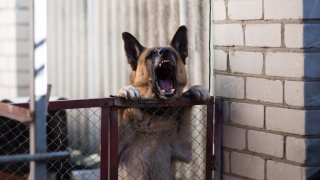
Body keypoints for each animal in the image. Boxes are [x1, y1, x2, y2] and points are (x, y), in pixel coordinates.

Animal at [117, 25, 210, 180]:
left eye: (172, 52)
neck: (155, 113)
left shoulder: (183, 147)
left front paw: (196, 89)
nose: (165, 52)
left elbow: (186, 108)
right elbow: (119, 110)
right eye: (151, 55)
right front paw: (126, 89)